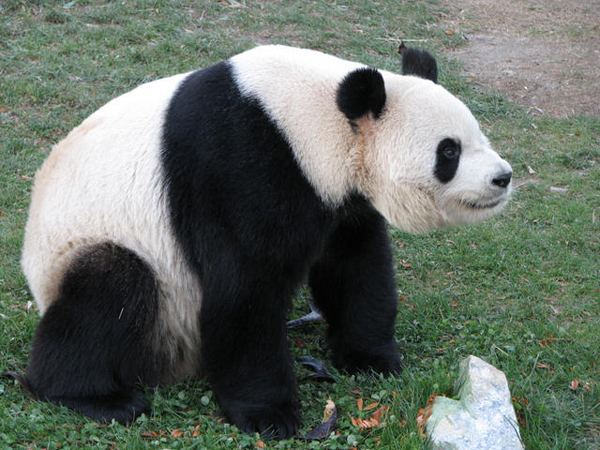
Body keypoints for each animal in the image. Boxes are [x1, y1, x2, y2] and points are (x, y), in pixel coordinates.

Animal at [21, 44, 512, 438]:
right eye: (448, 151)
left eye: (478, 136)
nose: (503, 177)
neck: (310, 121)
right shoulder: (241, 166)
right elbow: (245, 286)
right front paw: (270, 416)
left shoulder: (337, 198)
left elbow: (356, 266)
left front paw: (371, 359)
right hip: (103, 260)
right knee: (108, 289)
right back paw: (95, 397)